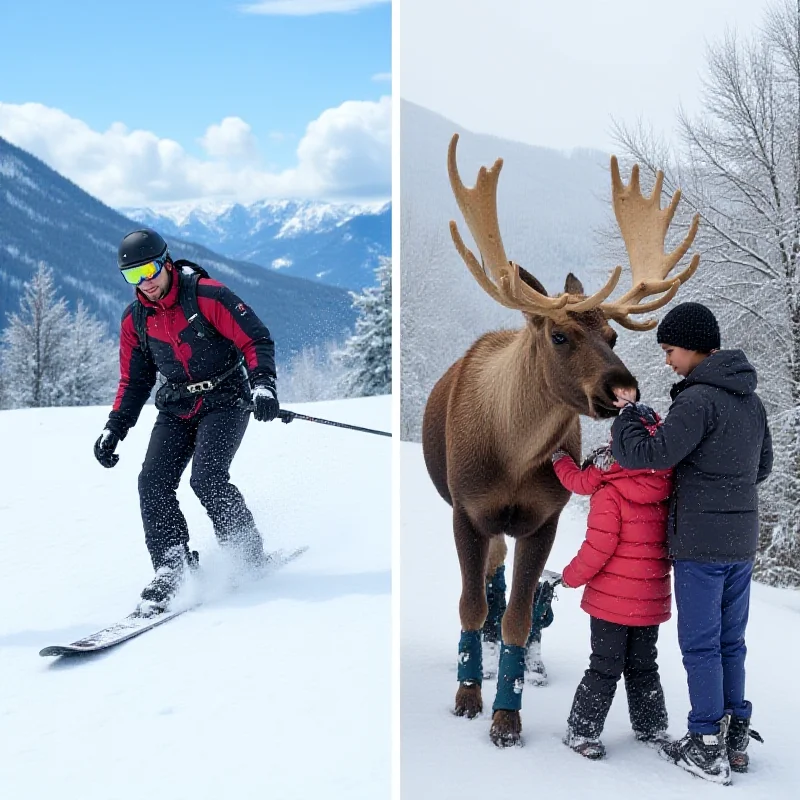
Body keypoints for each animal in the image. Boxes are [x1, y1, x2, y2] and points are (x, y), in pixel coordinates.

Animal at [422, 134, 696, 748]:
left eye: (613, 335)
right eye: (561, 335)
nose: (623, 386)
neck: (511, 456)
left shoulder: (542, 518)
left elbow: (519, 616)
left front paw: (507, 716)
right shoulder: (467, 511)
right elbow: (470, 606)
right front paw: (467, 695)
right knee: (486, 578)